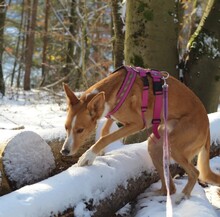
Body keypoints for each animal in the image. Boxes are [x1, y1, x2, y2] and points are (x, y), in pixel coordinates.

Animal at [60, 65, 220, 203]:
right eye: (66, 127)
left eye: (80, 130)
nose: (64, 151)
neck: (116, 89)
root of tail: (207, 126)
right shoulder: (113, 116)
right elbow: (105, 130)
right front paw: (100, 152)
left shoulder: (137, 124)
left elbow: (106, 137)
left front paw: (89, 155)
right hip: (155, 145)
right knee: (169, 187)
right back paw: (154, 194)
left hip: (175, 147)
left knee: (194, 173)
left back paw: (182, 196)